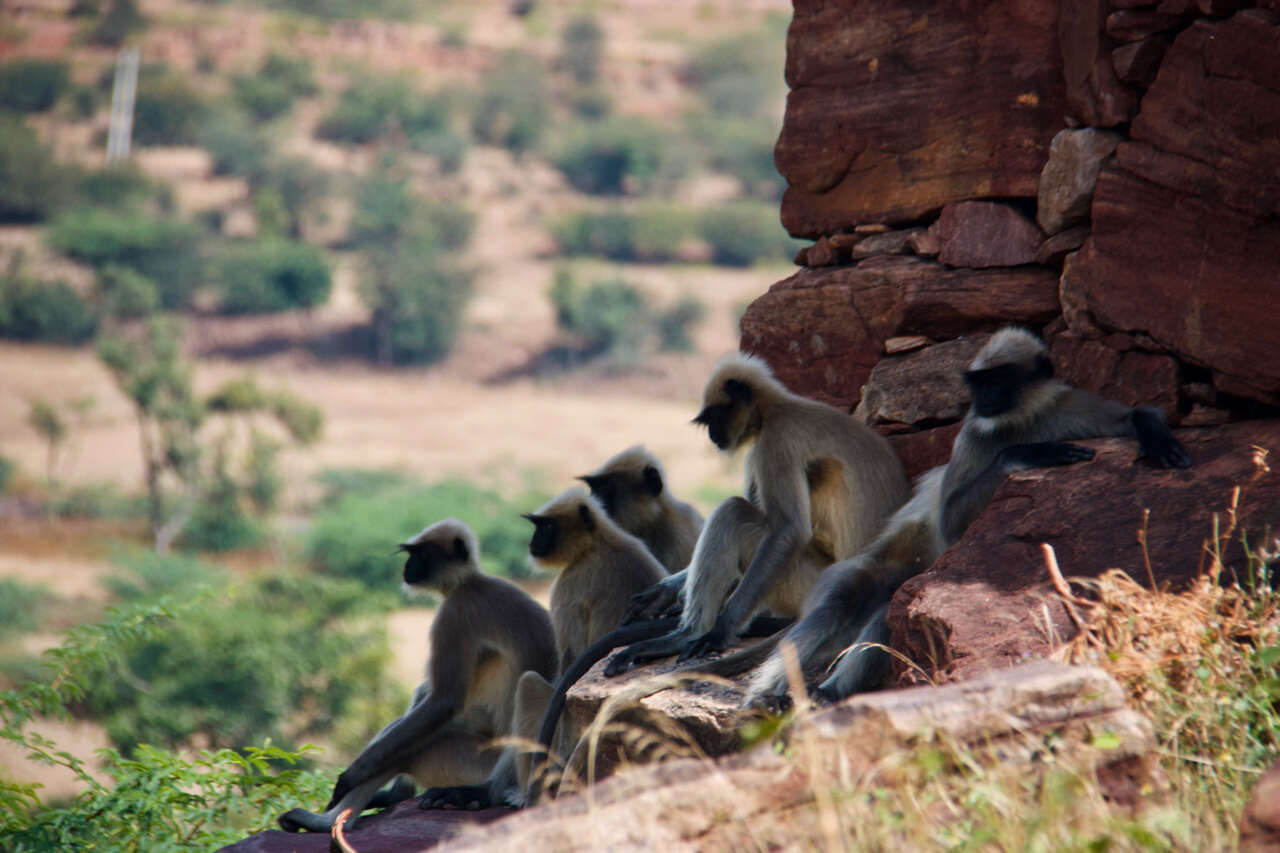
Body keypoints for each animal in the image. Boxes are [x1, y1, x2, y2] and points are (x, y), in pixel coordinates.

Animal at [275, 517, 555, 829]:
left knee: (413, 746)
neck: (469, 583)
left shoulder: (455, 614)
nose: (407, 567)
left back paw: (329, 822)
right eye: (411, 554)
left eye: (420, 554)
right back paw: (392, 797)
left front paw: (349, 777)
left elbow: (443, 702)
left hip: (472, 760)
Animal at [417, 489, 665, 809]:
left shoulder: (568, 585)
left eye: (546, 527)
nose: (533, 542)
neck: (598, 542)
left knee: (529, 685)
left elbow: (564, 674)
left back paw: (518, 795)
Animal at [601, 348, 911, 676]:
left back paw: (684, 636)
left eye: (713, 417)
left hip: (802, 581)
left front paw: (718, 632)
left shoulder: (776, 441)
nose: (712, 435)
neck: (777, 407)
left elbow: (788, 531)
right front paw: (664, 592)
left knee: (733, 511)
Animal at [747, 325, 1192, 701]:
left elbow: (1129, 415)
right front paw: (1027, 454)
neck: (1021, 420)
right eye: (978, 383)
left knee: (888, 607)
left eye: (998, 381)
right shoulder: (975, 434)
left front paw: (1154, 430)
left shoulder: (1069, 407)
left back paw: (829, 690)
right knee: (840, 601)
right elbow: (950, 521)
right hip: (877, 562)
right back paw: (776, 691)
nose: (981, 399)